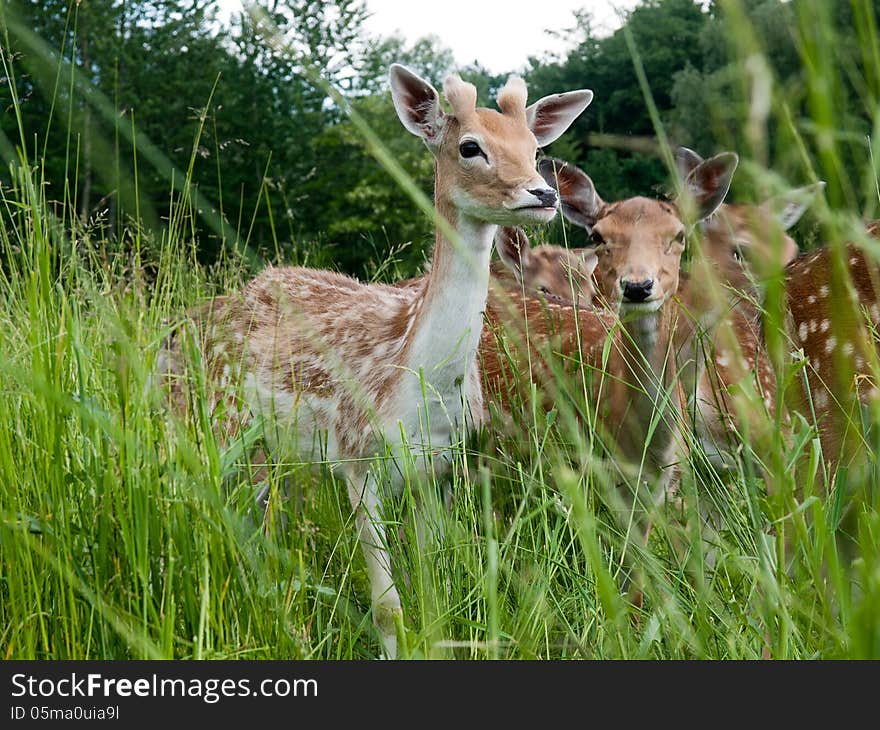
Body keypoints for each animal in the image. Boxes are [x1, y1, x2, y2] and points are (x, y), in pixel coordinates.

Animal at [162, 64, 596, 656]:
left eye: (535, 148)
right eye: (470, 147)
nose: (543, 193)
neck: (419, 387)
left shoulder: (438, 468)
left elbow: (435, 587)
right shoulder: (356, 456)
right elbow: (388, 605)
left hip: (283, 455)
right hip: (215, 420)